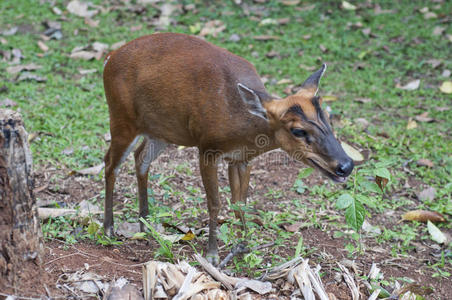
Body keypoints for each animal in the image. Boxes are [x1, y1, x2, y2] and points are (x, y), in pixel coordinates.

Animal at [102, 31, 354, 264]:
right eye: (298, 130)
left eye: (328, 118)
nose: (346, 165)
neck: (241, 124)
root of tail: (109, 58)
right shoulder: (207, 148)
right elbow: (215, 203)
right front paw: (212, 255)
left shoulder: (242, 158)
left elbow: (240, 202)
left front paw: (244, 247)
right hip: (122, 117)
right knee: (110, 164)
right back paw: (108, 229)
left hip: (161, 129)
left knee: (141, 158)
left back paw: (145, 225)